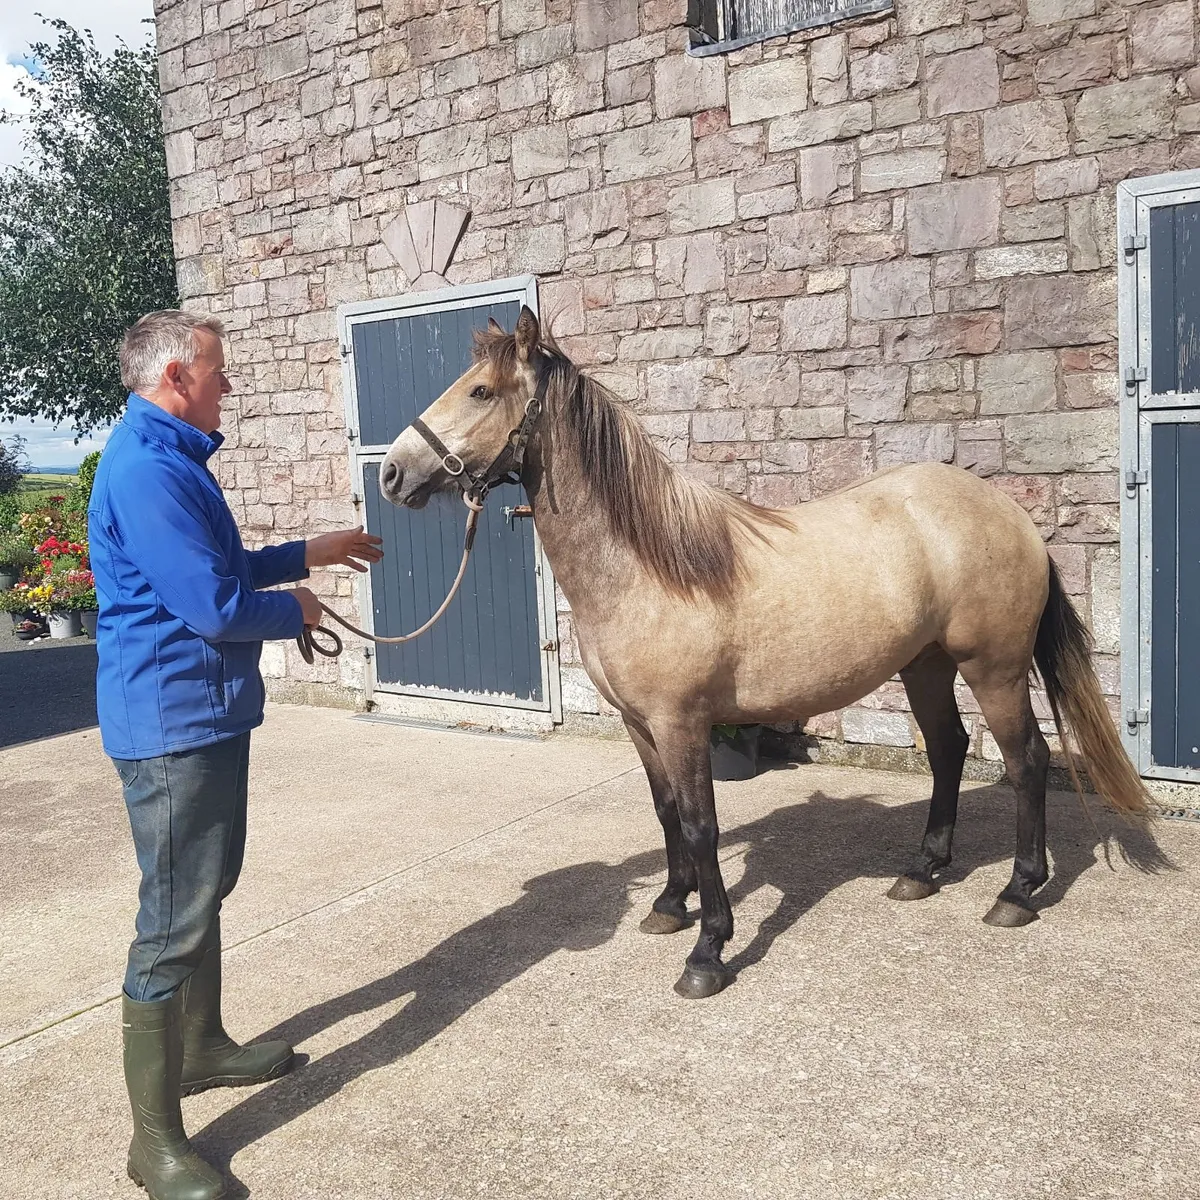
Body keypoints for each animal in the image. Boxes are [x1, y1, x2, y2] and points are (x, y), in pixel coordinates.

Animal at [377, 306, 1153, 1000]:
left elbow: (701, 825)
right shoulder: (639, 724)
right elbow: (666, 813)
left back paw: (1017, 892)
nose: (391, 474)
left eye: (481, 392)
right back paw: (923, 871)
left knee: (1027, 761)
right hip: (925, 664)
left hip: (992, 667)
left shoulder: (682, 723)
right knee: (948, 750)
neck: (647, 566)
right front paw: (669, 906)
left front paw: (708, 952)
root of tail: (1010, 512)